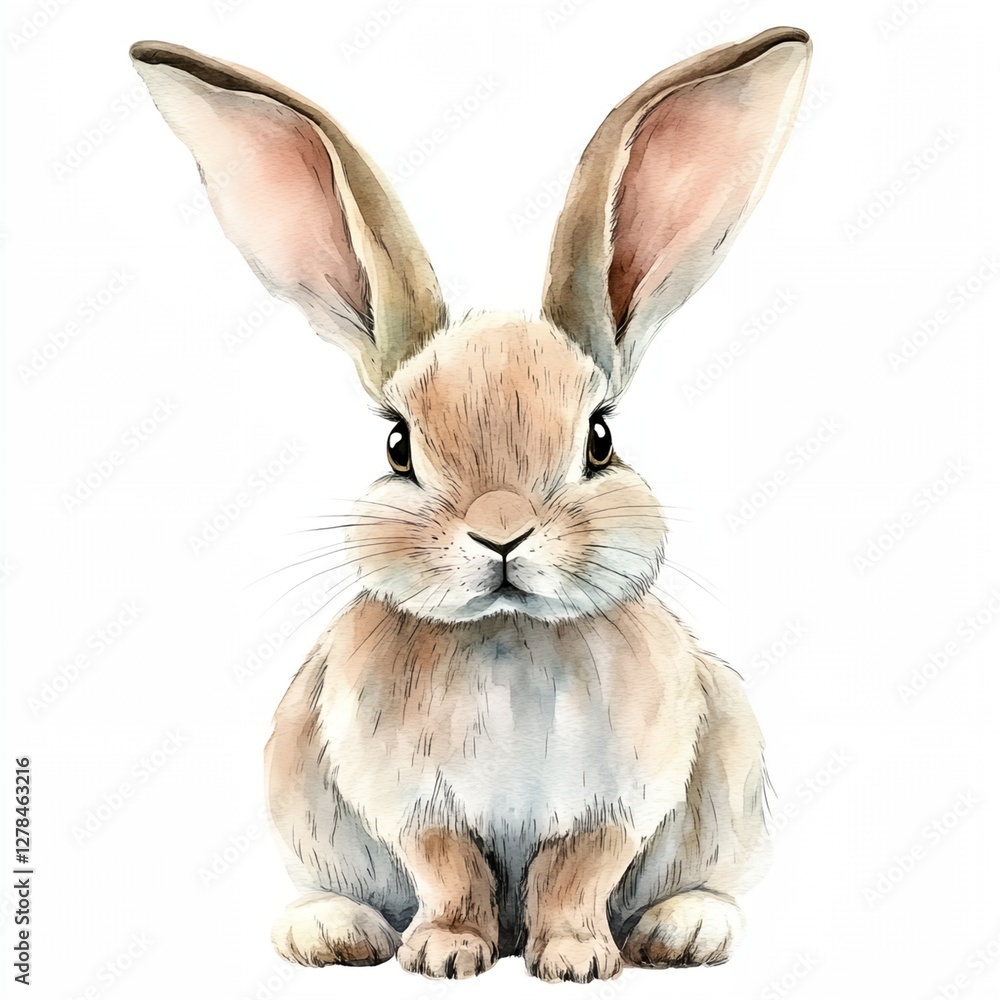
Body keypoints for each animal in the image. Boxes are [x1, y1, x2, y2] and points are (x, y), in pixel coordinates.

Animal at [130, 25, 811, 982]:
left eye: (601, 438)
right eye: (397, 445)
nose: (500, 533)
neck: (507, 636)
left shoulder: (620, 802)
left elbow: (574, 874)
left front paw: (575, 961)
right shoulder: (409, 801)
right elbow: (450, 868)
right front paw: (447, 954)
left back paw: (686, 930)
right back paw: (329, 932)